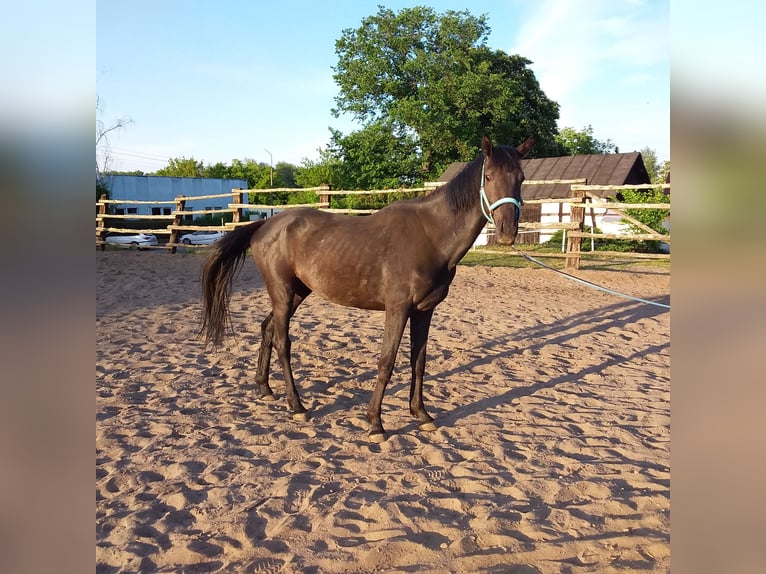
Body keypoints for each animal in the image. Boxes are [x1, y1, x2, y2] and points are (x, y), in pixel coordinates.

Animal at [201, 135, 532, 440]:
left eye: (521, 178)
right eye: (488, 177)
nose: (507, 232)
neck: (430, 236)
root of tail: (265, 226)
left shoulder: (424, 311)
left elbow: (419, 362)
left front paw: (421, 414)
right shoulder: (397, 309)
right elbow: (387, 362)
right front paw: (375, 422)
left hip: (296, 293)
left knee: (267, 328)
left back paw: (265, 388)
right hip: (282, 293)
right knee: (283, 343)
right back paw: (296, 406)